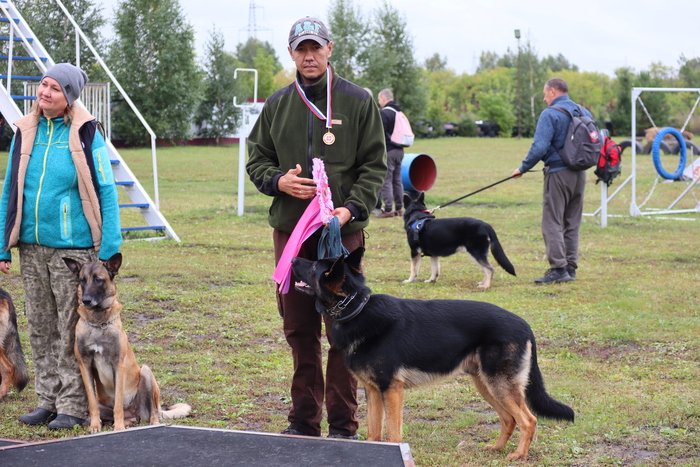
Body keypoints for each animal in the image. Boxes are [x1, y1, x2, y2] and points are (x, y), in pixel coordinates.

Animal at [63, 253, 191, 433]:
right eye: (82, 280)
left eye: (98, 279)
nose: (86, 300)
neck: (98, 323)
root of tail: (135, 411)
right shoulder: (85, 365)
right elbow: (92, 403)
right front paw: (95, 425)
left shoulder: (118, 365)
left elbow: (117, 403)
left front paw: (119, 427)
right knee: (127, 416)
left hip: (146, 372)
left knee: (153, 412)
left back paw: (150, 423)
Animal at [291, 248, 574, 461]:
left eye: (315, 266)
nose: (292, 258)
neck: (356, 308)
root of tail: (525, 324)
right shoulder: (372, 391)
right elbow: (374, 434)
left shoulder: (391, 391)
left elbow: (393, 435)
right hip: (486, 385)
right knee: (508, 419)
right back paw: (496, 448)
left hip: (499, 385)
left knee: (528, 420)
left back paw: (518, 455)